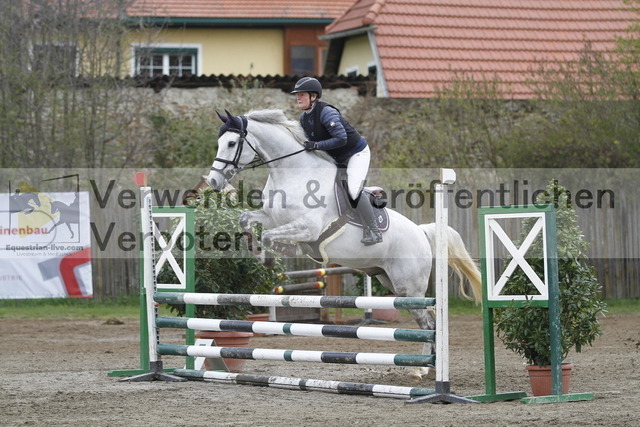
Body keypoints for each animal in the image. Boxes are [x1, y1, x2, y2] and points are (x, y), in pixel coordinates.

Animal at [205, 109, 482, 381]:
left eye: (232, 143)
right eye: (219, 142)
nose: (213, 182)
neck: (293, 174)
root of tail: (421, 232)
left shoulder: (308, 227)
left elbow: (271, 237)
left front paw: (273, 256)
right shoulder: (271, 217)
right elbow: (245, 219)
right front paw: (258, 252)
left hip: (408, 288)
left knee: (429, 324)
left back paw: (424, 369)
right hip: (388, 280)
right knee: (428, 322)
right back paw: (427, 367)